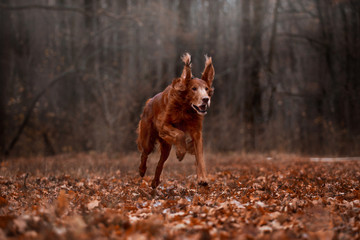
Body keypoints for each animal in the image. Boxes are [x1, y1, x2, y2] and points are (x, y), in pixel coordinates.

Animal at [135, 53, 214, 188]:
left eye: (206, 88)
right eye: (194, 88)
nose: (205, 99)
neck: (186, 109)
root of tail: (149, 101)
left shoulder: (196, 132)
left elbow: (200, 156)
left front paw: (202, 179)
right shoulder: (163, 125)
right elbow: (180, 133)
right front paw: (181, 153)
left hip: (166, 146)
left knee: (160, 163)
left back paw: (155, 182)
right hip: (148, 139)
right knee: (144, 153)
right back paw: (141, 170)